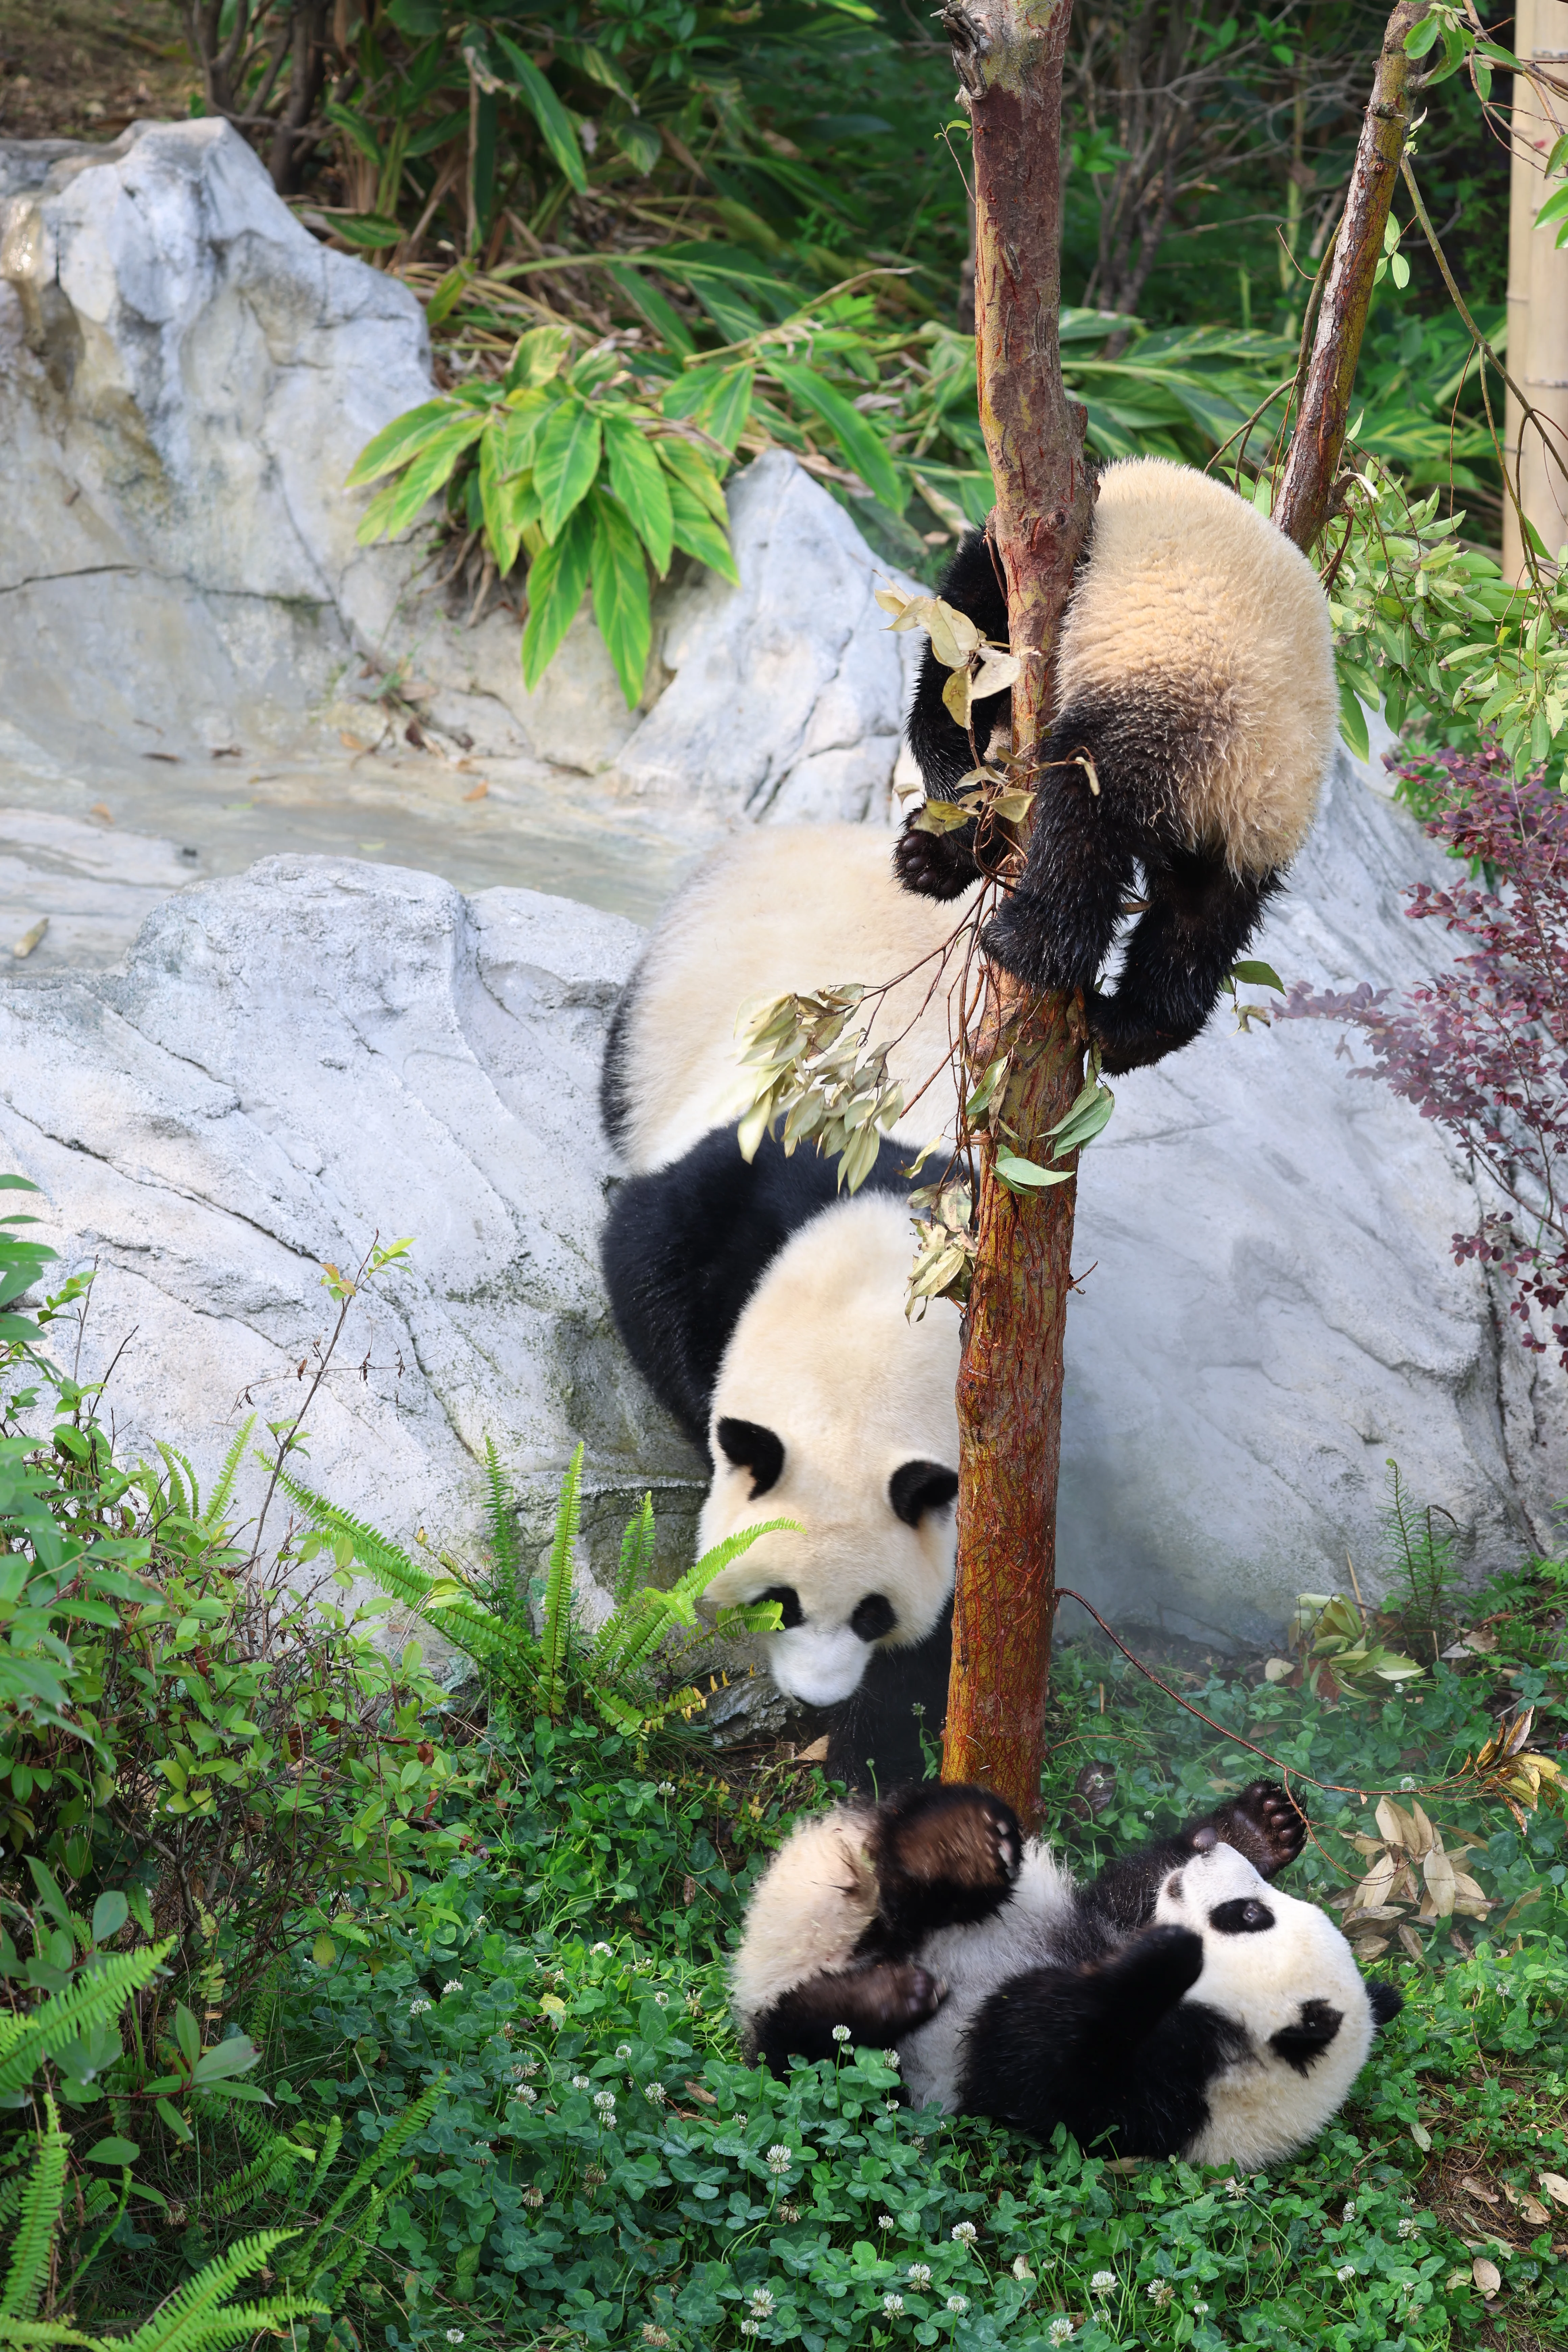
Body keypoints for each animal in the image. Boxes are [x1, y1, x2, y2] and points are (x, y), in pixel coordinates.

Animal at [733, 1777, 1402, 2167]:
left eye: (1249, 1916)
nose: (1215, 1853)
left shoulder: (1135, 2108)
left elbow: (1032, 2047)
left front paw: (1168, 1959)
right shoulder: (1102, 1926)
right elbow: (1128, 1891)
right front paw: (1262, 1825)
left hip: (881, 2083)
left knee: (802, 2054)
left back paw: (882, 1997)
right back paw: (959, 1845)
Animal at [898, 457, 1340, 1076]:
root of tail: (1255, 783)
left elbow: (958, 683)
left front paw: (951, 834)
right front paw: (927, 859)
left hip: (1167, 723)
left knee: (1081, 816)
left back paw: (1028, 946)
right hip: (1248, 844)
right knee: (1199, 923)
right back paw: (1135, 1029)